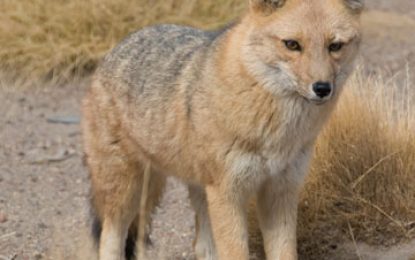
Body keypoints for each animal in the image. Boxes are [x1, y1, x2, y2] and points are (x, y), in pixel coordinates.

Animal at [82, 1, 364, 258]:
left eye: (335, 46)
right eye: (292, 44)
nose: (322, 88)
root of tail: (119, 45)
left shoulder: (280, 191)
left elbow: (285, 253)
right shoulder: (228, 193)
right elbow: (236, 253)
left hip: (193, 191)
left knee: (200, 246)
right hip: (127, 191)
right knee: (110, 239)